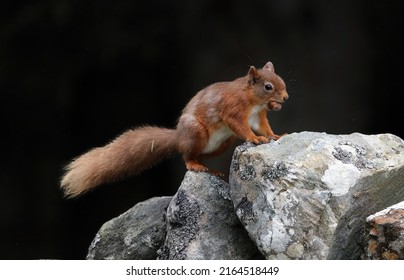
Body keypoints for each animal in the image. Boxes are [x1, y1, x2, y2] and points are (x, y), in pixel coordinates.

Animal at [60, 61, 288, 197]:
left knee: (198, 155)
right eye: (268, 87)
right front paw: (255, 138)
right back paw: (195, 165)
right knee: (187, 157)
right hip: (196, 132)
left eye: (282, 81)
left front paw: (275, 135)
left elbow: (263, 127)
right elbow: (241, 126)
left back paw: (210, 169)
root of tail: (179, 137)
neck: (252, 99)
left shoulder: (257, 115)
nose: (285, 98)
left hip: (222, 143)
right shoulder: (233, 109)